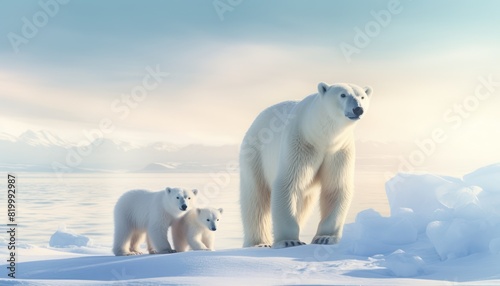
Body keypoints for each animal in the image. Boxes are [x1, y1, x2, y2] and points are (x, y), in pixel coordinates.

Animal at [240, 81, 374, 247]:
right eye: (343, 95)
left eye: (362, 96)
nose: (358, 109)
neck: (321, 136)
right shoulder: (300, 143)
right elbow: (288, 183)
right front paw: (289, 241)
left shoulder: (339, 150)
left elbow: (335, 187)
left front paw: (325, 237)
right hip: (255, 156)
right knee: (255, 199)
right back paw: (259, 242)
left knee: (304, 201)